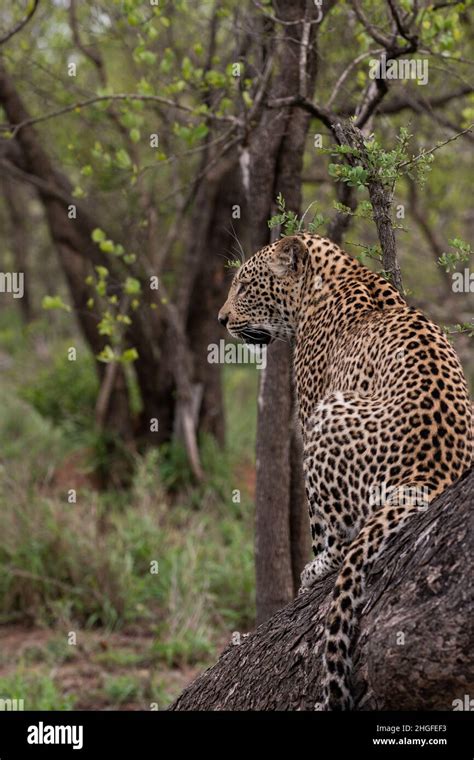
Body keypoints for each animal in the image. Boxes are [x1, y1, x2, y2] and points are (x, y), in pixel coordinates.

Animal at [218, 233, 470, 712]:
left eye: (243, 285)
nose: (221, 319)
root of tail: (429, 476)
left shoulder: (308, 411)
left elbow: (317, 525)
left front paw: (309, 574)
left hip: (330, 414)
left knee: (342, 540)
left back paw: (315, 570)